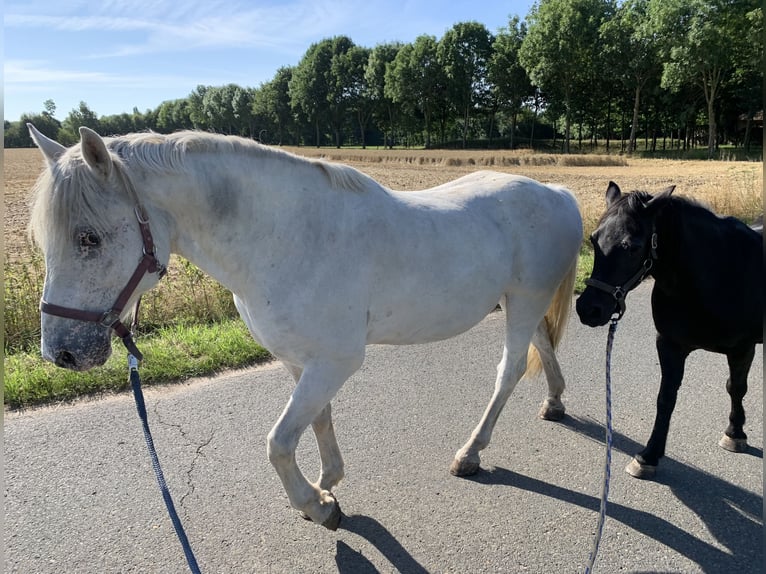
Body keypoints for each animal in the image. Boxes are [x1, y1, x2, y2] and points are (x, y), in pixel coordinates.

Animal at [27, 124, 582, 530]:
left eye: (89, 238)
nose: (61, 353)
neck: (286, 237)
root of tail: (557, 192)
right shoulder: (302, 361)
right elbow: (315, 421)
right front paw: (327, 480)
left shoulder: (334, 362)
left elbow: (277, 442)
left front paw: (316, 505)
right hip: (518, 302)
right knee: (542, 345)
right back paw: (554, 401)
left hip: (523, 301)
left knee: (509, 370)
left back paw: (470, 453)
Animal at [576, 181, 763, 479]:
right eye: (594, 239)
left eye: (631, 246)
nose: (588, 309)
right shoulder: (669, 346)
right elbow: (665, 399)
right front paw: (648, 456)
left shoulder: (742, 348)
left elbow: (736, 387)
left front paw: (735, 434)